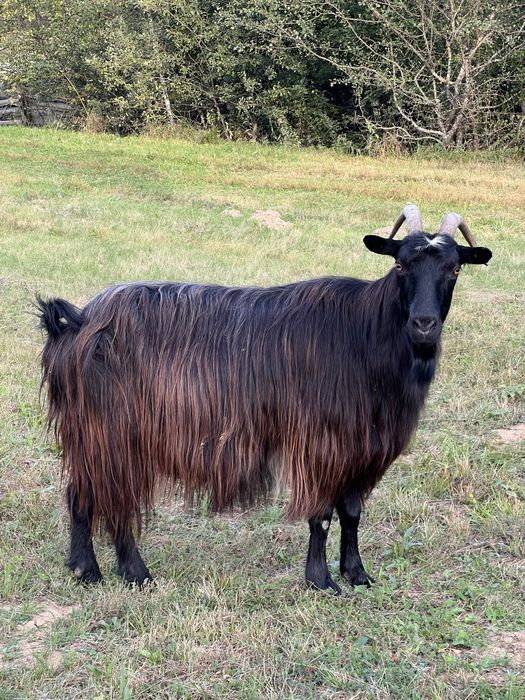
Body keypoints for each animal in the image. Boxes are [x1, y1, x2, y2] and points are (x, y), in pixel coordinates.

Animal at [38, 205, 491, 592]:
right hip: (114, 432)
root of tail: (75, 321)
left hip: (94, 436)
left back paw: (85, 570)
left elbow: (352, 512)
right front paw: (320, 580)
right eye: (400, 265)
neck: (365, 335)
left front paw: (357, 574)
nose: (424, 324)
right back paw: (134, 572)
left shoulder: (362, 448)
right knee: (114, 498)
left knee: (82, 492)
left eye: (454, 268)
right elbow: (321, 515)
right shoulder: (321, 443)